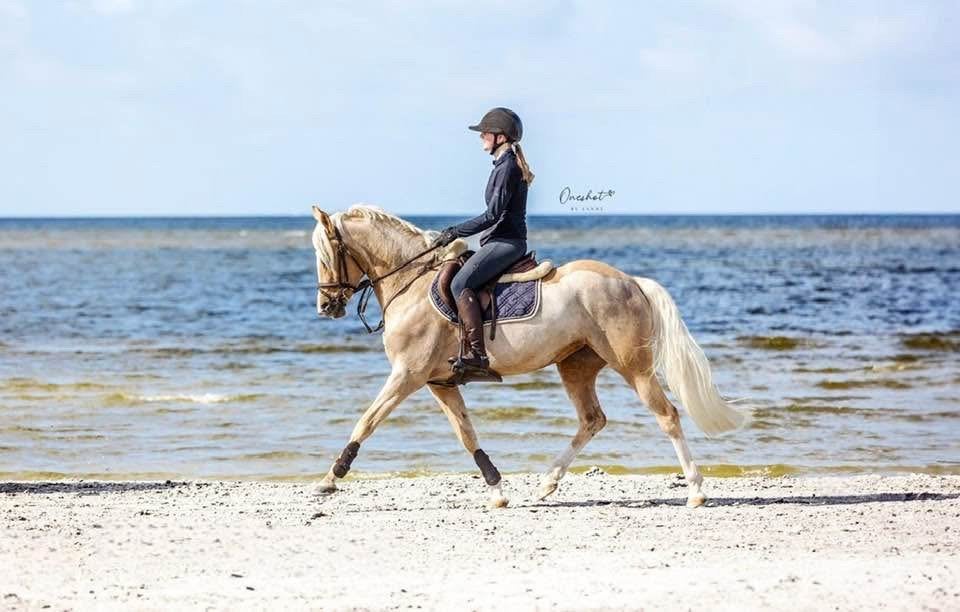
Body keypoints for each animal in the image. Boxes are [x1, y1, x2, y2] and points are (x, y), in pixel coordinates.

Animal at [311, 203, 751, 508]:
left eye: (325, 254)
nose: (326, 306)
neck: (411, 283)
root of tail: (631, 281)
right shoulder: (439, 383)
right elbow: (467, 434)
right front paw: (498, 491)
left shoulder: (408, 375)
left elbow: (366, 422)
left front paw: (329, 480)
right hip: (575, 365)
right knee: (592, 420)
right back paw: (547, 483)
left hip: (633, 368)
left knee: (667, 416)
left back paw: (695, 491)